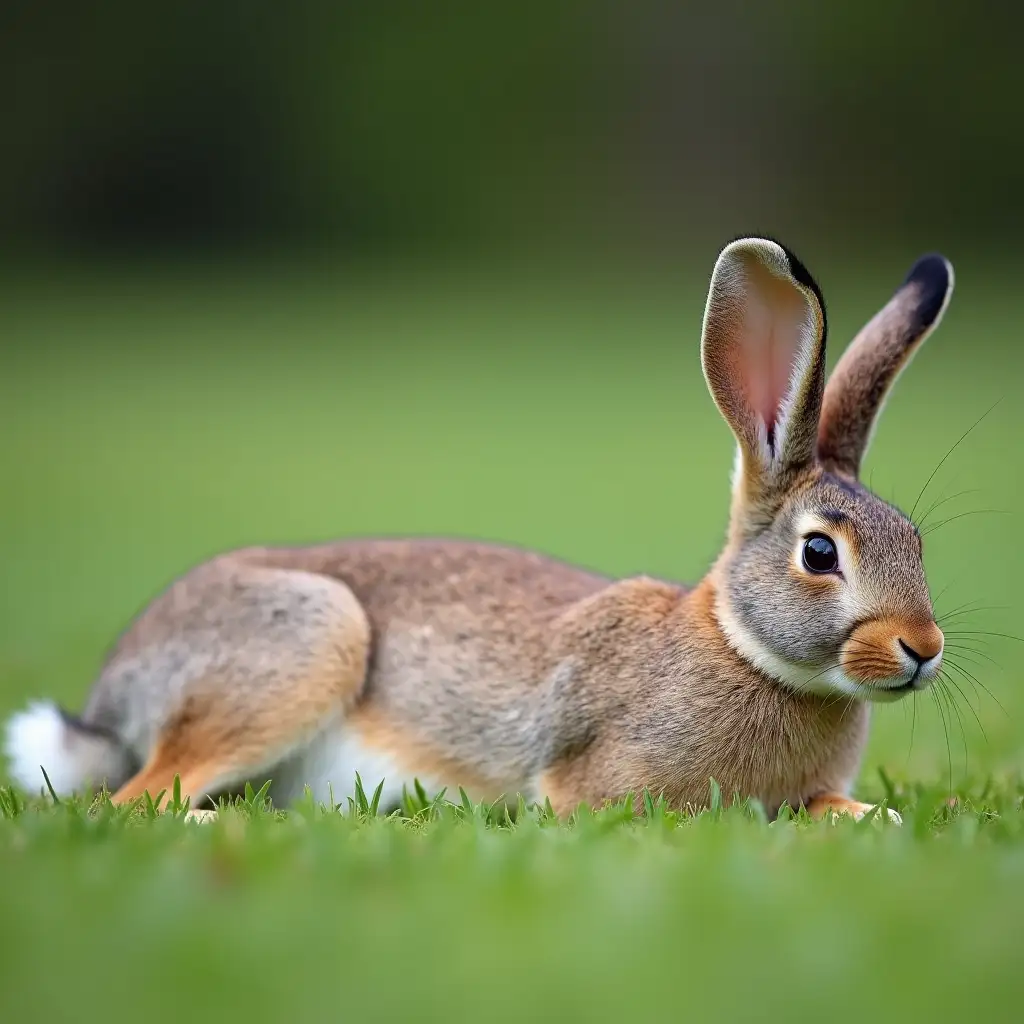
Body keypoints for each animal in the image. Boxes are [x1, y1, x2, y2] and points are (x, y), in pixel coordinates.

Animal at [3, 237, 953, 824]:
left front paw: (877, 815)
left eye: (915, 542)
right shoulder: (609, 788)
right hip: (305, 646)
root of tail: (109, 703)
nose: (923, 648)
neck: (739, 644)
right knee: (136, 801)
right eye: (820, 553)